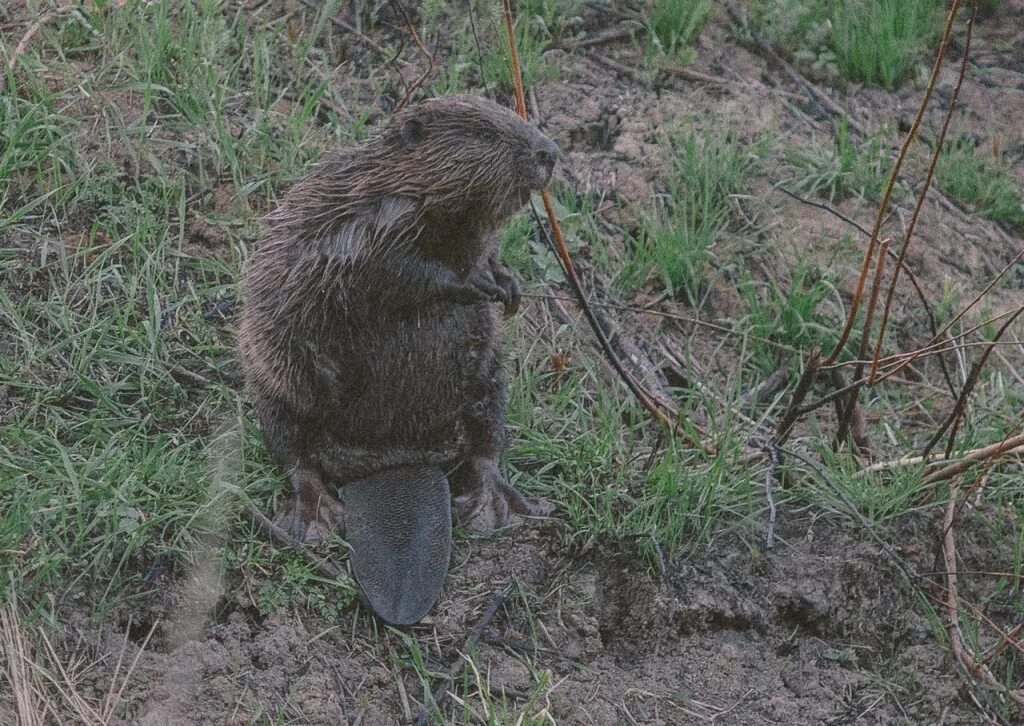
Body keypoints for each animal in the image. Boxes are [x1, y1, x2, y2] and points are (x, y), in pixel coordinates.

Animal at [237, 94, 561, 622]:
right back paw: (315, 518)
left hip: (489, 378)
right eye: (486, 134)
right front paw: (475, 284)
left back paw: (498, 506)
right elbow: (392, 273)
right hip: (276, 380)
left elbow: (486, 251)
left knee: (487, 443)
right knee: (295, 452)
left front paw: (505, 285)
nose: (549, 153)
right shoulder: (366, 223)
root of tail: (397, 461)